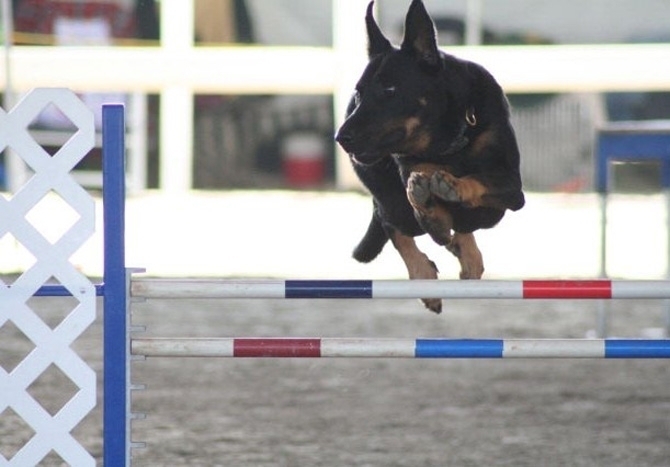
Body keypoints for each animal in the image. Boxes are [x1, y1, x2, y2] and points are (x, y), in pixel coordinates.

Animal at [336, 0, 524, 314]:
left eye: (390, 90)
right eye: (359, 93)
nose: (341, 137)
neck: (448, 142)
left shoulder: (512, 190)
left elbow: (478, 184)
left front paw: (451, 188)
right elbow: (422, 194)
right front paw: (430, 205)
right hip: (390, 199)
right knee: (393, 223)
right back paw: (425, 270)